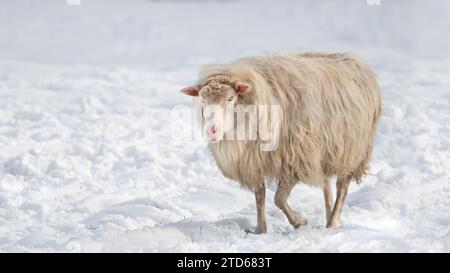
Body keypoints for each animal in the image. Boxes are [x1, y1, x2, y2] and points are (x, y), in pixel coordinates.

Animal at [179, 52, 380, 233]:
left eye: (230, 98)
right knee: (326, 185)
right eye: (202, 100)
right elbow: (260, 196)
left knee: (342, 187)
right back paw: (329, 215)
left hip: (353, 149)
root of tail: (353, 57)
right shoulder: (254, 161)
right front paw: (261, 230)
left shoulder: (294, 160)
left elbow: (279, 198)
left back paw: (332, 222)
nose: (211, 130)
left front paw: (299, 221)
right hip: (326, 150)